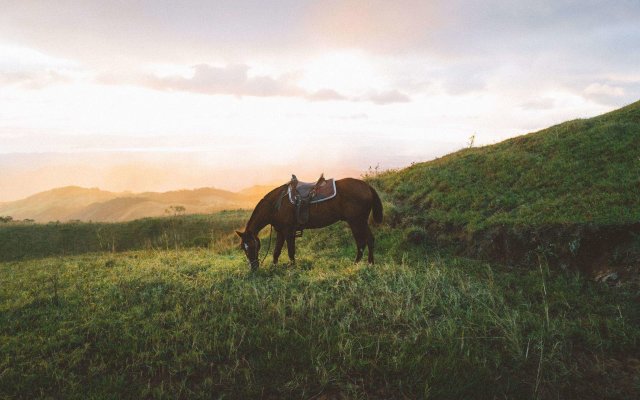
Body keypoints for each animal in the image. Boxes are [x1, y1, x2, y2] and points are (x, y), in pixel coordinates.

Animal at [236, 177, 382, 268]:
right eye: (243, 247)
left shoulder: (289, 232)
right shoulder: (280, 232)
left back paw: (359, 263)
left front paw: (293, 267)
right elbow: (276, 252)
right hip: (360, 222)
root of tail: (366, 186)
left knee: (362, 242)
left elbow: (291, 251)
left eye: (253, 245)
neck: (276, 205)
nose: (253, 267)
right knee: (369, 240)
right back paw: (369, 263)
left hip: (356, 222)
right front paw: (274, 267)